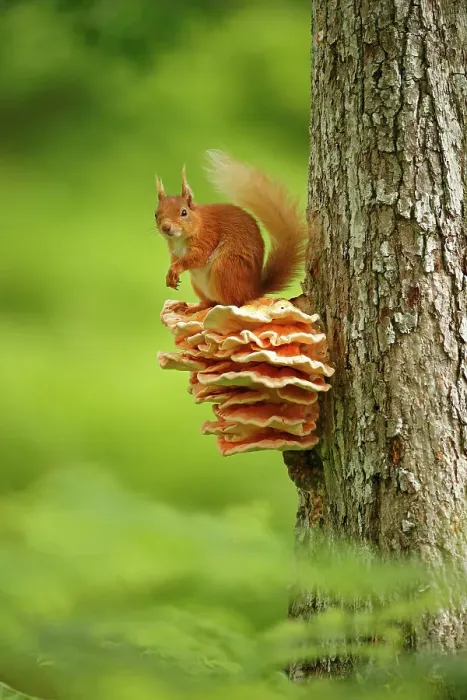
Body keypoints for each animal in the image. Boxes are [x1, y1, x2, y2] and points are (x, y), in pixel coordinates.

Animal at [155, 150, 307, 311]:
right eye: (156, 214)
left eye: (184, 212)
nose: (166, 227)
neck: (180, 239)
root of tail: (252, 291)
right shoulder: (174, 251)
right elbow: (175, 259)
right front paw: (170, 276)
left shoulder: (208, 236)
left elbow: (199, 256)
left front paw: (176, 269)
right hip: (199, 284)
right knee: (209, 302)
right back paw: (191, 308)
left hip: (225, 269)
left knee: (233, 302)